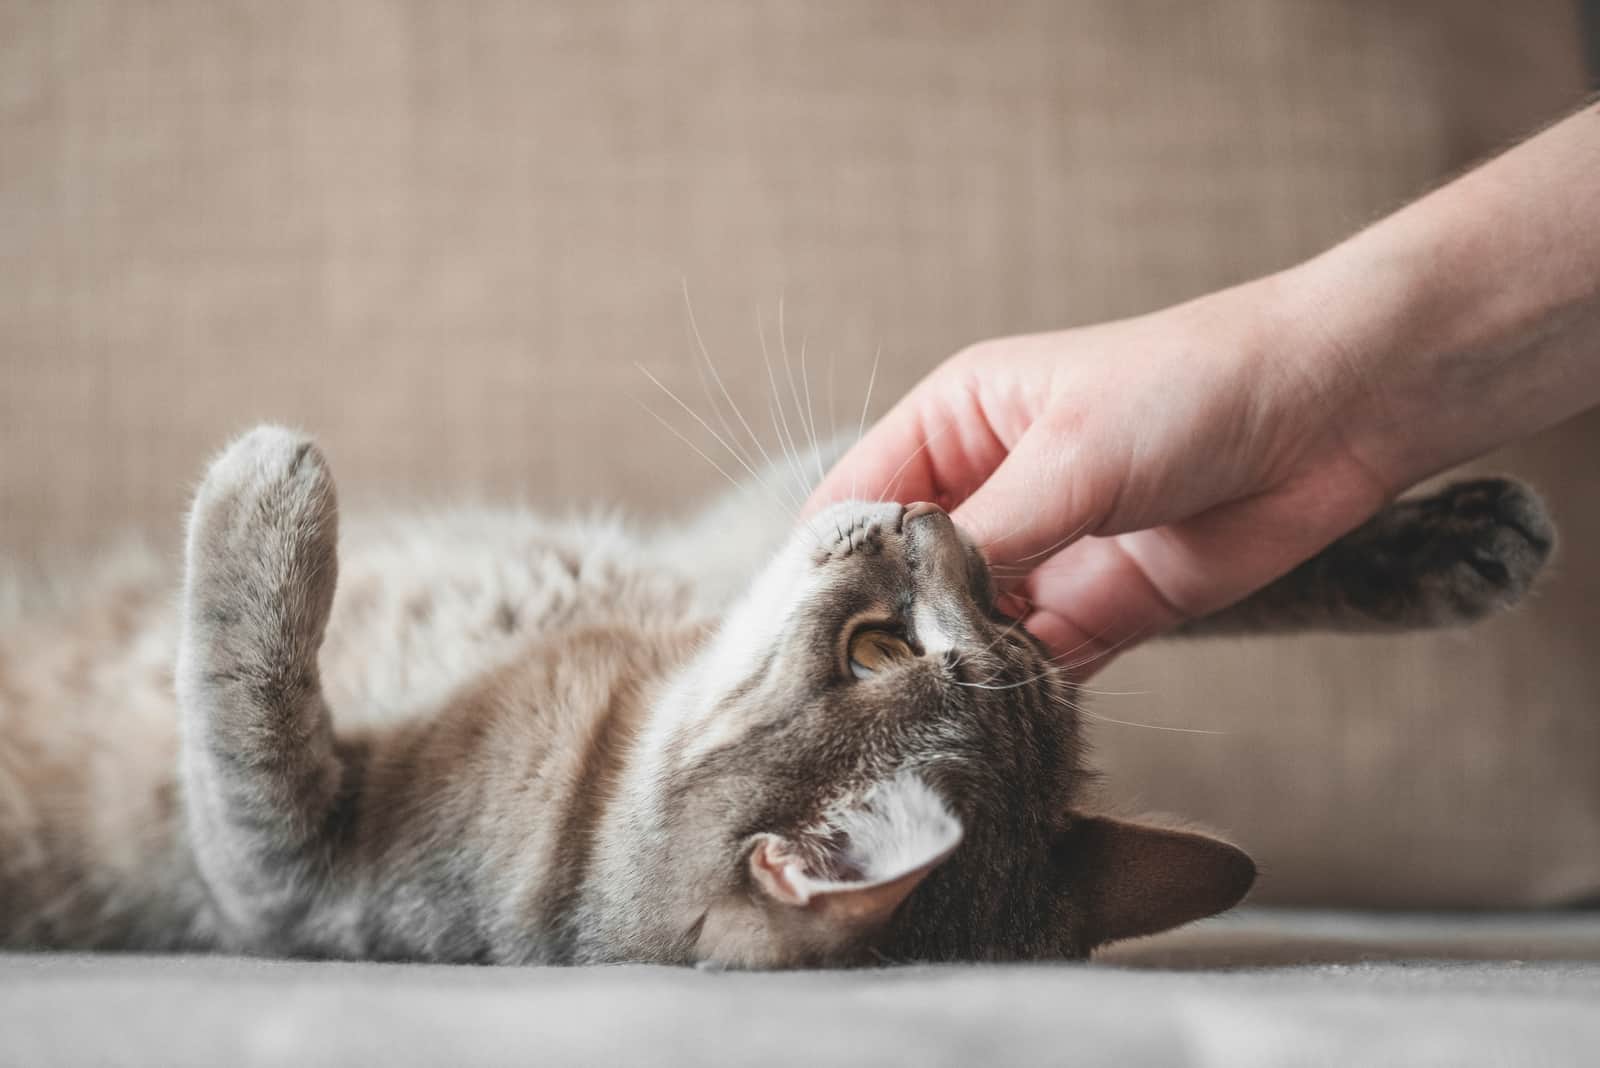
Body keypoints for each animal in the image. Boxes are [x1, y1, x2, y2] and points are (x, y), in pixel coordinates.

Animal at [0, 425, 1548, 965]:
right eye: (881, 647)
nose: (930, 516)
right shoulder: (735, 529)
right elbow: (1188, 555)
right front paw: (1439, 544)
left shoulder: (276, 882)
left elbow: (240, 706)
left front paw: (268, 491)